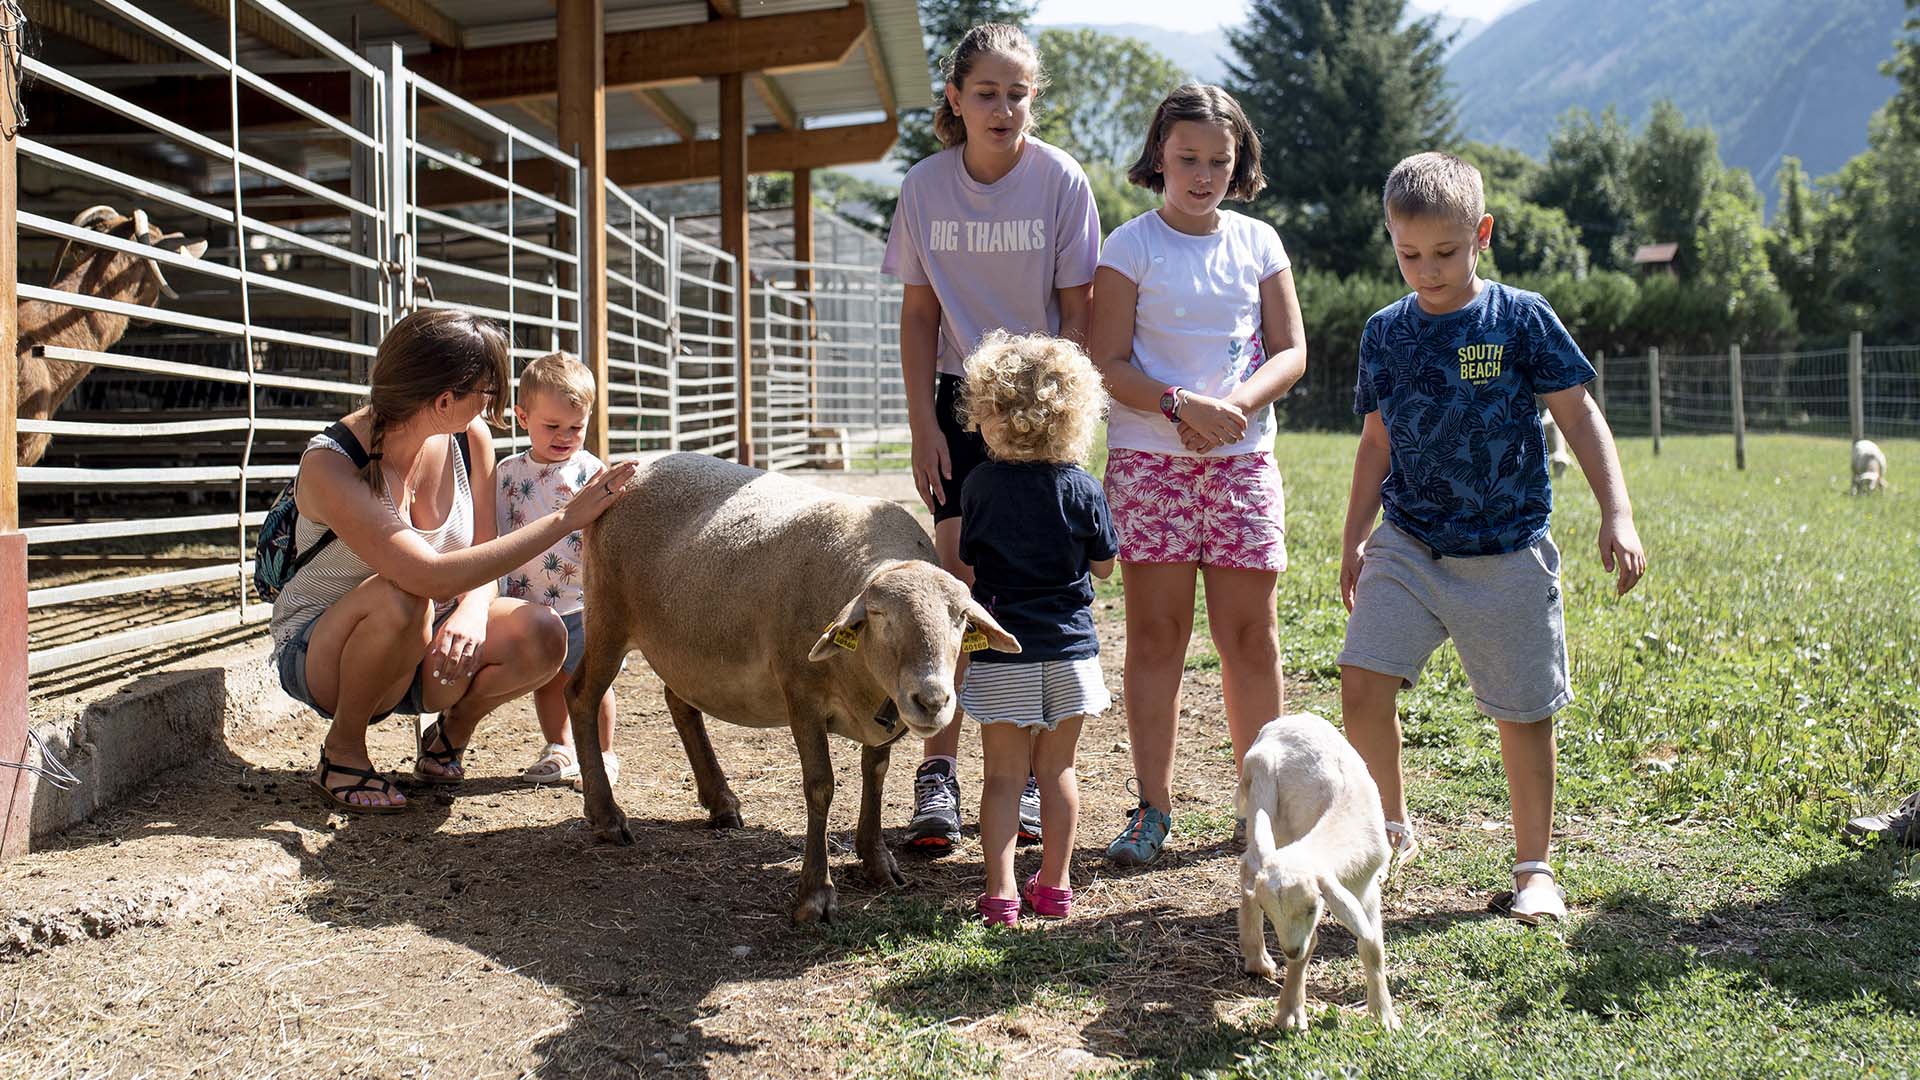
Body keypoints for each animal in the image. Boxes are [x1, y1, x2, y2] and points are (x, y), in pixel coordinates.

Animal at [560, 449, 1021, 922]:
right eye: (879, 617)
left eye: (961, 618)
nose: (931, 701)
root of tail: (634, 464)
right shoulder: (801, 692)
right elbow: (820, 786)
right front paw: (815, 894)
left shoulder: (883, 714)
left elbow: (875, 774)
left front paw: (876, 861)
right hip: (608, 615)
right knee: (581, 696)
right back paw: (606, 816)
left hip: (685, 644)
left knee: (680, 701)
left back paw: (720, 801)